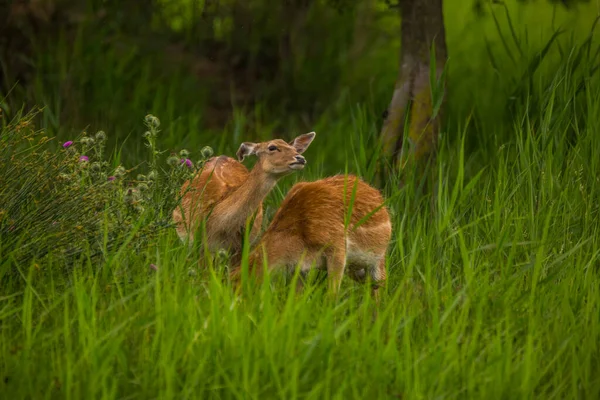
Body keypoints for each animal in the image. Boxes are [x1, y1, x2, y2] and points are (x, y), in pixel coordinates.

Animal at [227, 173, 392, 302]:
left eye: (237, 286)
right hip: (357, 269)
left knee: (380, 286)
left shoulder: (337, 247)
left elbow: (332, 294)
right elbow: (296, 297)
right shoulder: (299, 267)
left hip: (378, 259)